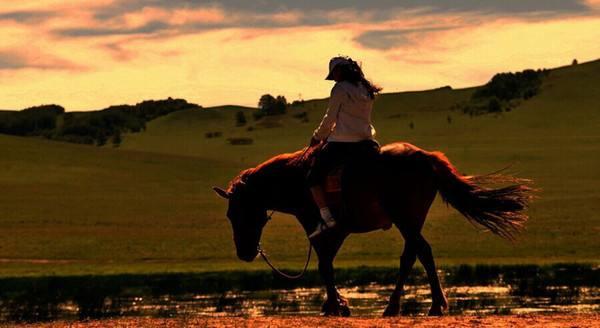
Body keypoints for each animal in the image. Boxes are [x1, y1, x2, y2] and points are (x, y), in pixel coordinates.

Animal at [213, 142, 532, 316]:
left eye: (234, 213)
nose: (244, 253)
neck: (297, 180)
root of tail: (426, 158)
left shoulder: (322, 227)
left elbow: (324, 264)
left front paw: (335, 306)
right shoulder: (335, 231)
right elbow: (326, 263)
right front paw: (337, 304)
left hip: (406, 219)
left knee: (419, 253)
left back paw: (415, 306)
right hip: (410, 221)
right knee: (416, 254)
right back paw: (421, 305)